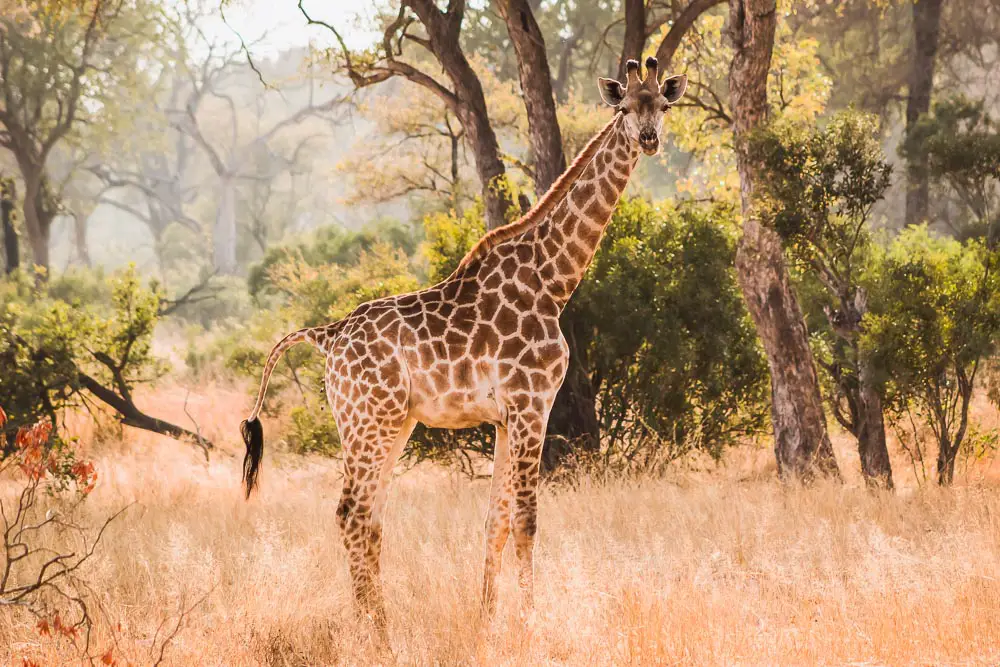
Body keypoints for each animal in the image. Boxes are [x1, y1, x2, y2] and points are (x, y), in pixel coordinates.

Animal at [240, 56, 688, 628]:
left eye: (664, 106)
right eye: (626, 108)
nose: (650, 139)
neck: (553, 281)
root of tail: (328, 335)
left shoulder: (505, 417)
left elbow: (496, 521)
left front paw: (486, 619)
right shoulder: (531, 404)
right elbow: (527, 519)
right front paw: (529, 622)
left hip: (392, 422)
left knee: (369, 516)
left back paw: (377, 623)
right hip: (369, 421)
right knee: (351, 512)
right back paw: (374, 631)